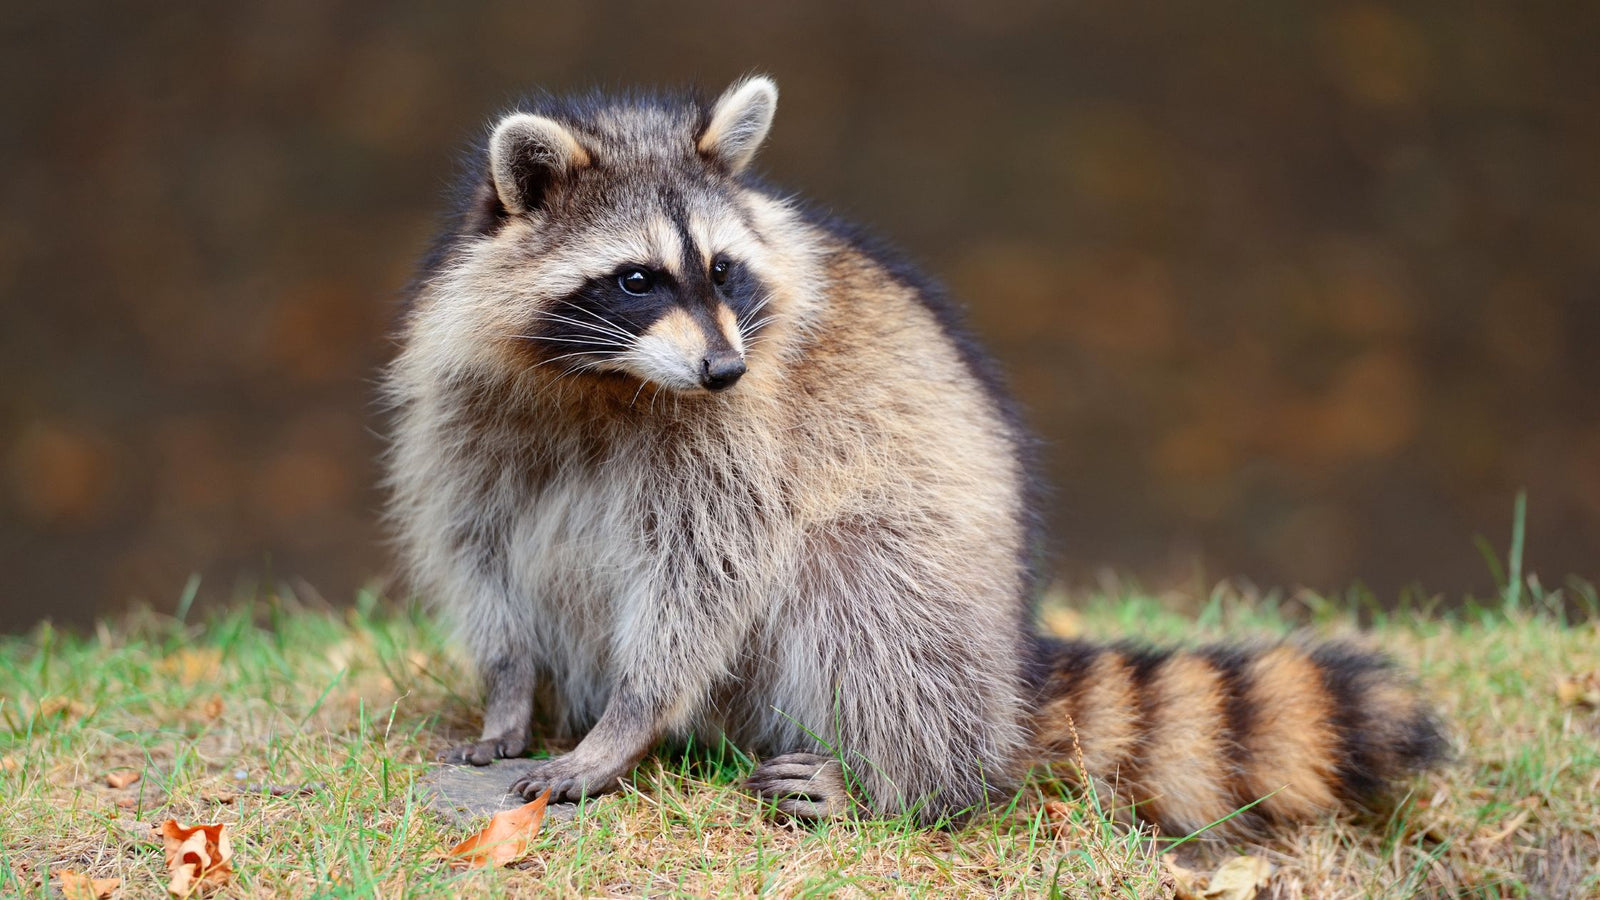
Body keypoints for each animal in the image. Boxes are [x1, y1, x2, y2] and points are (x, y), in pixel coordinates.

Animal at [384, 75, 1447, 834]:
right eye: (637, 279)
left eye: (723, 269)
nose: (725, 366)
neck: (608, 379)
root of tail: (1012, 659)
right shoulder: (465, 406)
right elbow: (476, 544)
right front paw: (508, 688)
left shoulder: (743, 435)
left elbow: (706, 574)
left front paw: (628, 722)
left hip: (934, 581)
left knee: (863, 593)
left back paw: (902, 782)